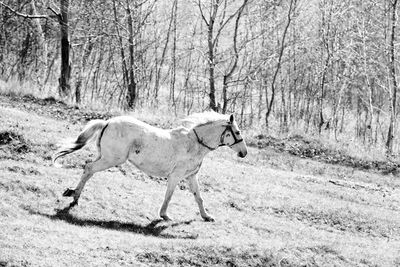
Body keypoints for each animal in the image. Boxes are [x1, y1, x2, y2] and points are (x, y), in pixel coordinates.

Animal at [53, 111, 247, 222]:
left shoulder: (191, 176)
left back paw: (72, 193)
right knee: (89, 169)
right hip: (111, 159)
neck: (194, 144)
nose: (244, 153)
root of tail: (108, 122)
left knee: (88, 169)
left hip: (104, 156)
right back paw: (74, 197)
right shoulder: (176, 176)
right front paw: (165, 216)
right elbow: (169, 195)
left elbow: (198, 197)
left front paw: (207, 216)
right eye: (237, 132)